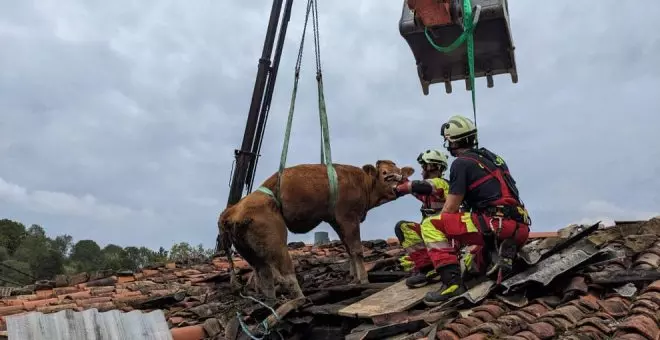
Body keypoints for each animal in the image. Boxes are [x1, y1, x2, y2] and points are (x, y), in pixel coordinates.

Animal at [218, 161, 412, 298]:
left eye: (400, 172)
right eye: (385, 173)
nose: (400, 186)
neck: (363, 183)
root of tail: (232, 211)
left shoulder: (336, 220)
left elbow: (348, 249)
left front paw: (354, 277)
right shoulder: (348, 217)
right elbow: (356, 249)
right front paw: (363, 279)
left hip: (250, 252)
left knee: (264, 277)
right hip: (275, 242)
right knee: (286, 274)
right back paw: (300, 300)